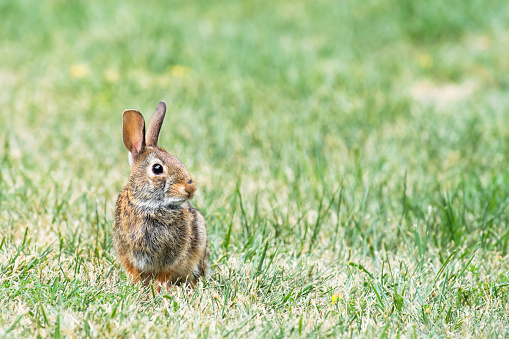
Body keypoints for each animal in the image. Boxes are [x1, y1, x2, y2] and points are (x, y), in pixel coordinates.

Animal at [114, 101, 208, 290]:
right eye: (157, 168)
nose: (191, 187)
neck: (150, 205)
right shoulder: (126, 249)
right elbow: (133, 270)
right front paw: (136, 286)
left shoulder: (173, 256)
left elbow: (164, 274)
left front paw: (158, 289)